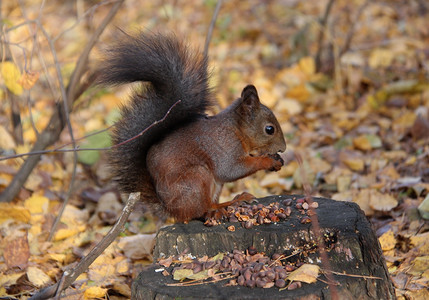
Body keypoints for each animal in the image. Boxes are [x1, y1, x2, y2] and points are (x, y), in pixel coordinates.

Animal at [96, 31, 284, 221]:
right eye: (270, 129)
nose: (282, 148)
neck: (236, 129)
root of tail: (171, 209)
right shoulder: (225, 147)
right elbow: (231, 169)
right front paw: (268, 161)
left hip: (212, 185)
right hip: (197, 177)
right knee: (202, 209)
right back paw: (227, 204)